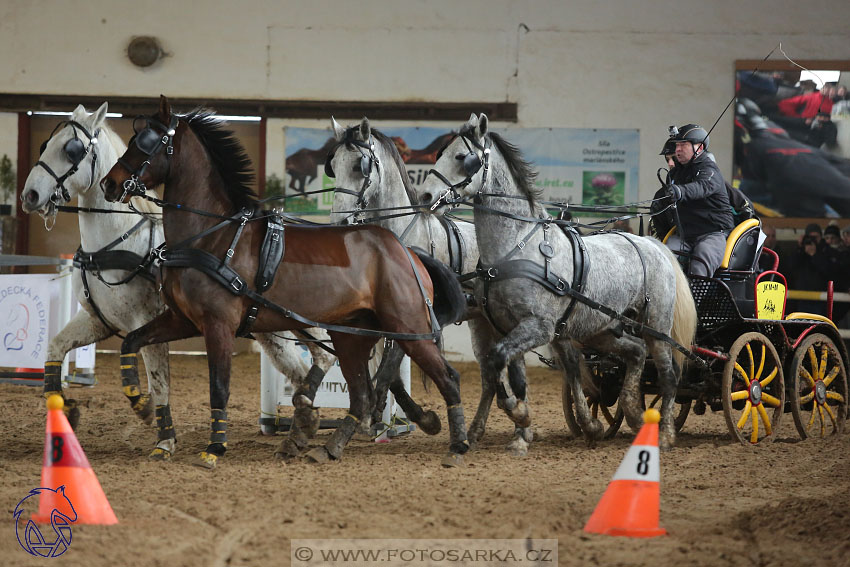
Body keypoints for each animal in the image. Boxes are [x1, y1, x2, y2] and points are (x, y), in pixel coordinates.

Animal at [19, 103, 332, 462]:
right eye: (45, 145)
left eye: (72, 150)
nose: (30, 195)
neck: (117, 245)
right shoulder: (99, 320)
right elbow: (55, 347)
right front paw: (66, 408)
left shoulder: (147, 320)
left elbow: (159, 383)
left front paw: (160, 432)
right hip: (272, 330)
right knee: (301, 370)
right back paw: (304, 427)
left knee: (325, 354)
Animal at [101, 97, 470, 468]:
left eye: (147, 142)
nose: (109, 184)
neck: (212, 236)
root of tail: (406, 251)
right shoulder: (182, 320)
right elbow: (131, 341)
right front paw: (141, 403)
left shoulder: (218, 324)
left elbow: (219, 386)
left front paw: (214, 448)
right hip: (351, 335)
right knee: (361, 394)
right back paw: (330, 446)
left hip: (408, 328)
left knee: (448, 378)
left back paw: (458, 445)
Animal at [328, 118, 532, 458]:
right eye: (332, 165)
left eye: (360, 165)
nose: (338, 222)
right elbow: (391, 375)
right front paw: (405, 416)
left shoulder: (412, 318)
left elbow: (389, 369)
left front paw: (392, 415)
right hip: (482, 323)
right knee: (490, 377)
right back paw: (479, 430)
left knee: (522, 369)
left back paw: (524, 431)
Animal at [420, 114, 696, 452]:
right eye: (440, 154)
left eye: (462, 157)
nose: (426, 196)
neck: (515, 247)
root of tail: (652, 244)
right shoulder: (508, 326)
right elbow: (509, 373)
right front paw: (522, 429)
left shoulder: (539, 327)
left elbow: (499, 361)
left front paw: (520, 416)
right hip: (601, 329)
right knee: (635, 353)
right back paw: (631, 412)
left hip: (656, 324)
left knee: (668, 374)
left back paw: (665, 432)